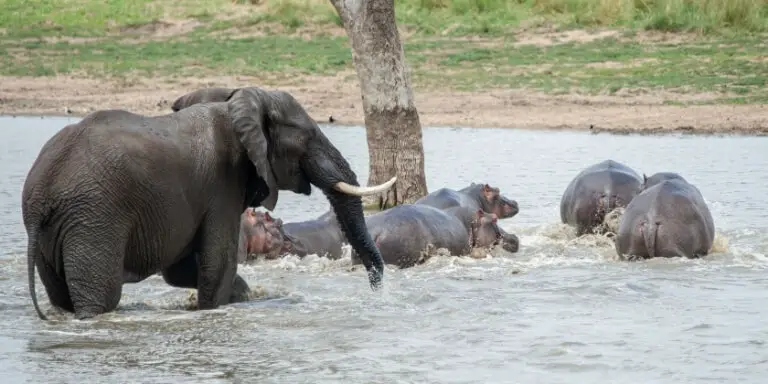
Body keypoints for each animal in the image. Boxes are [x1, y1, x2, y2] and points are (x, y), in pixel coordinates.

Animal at [21, 85, 396, 320]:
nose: (377, 291)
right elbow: (218, 264)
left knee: (61, 296)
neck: (236, 100)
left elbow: (183, 269)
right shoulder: (222, 182)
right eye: (308, 136)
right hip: (94, 218)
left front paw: (243, 295)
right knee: (99, 296)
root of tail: (41, 192)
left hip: (58, 229)